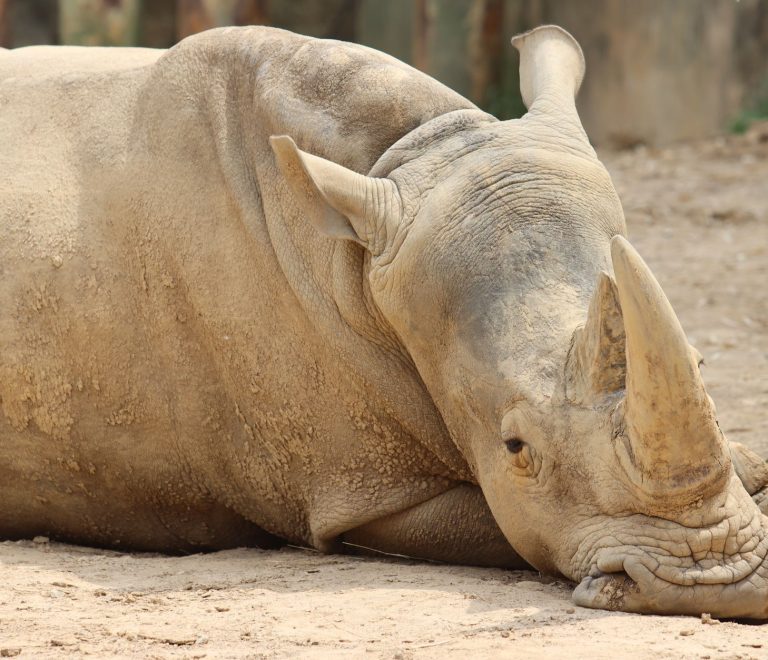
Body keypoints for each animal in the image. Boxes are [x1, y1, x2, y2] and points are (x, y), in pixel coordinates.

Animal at [1, 24, 767, 618]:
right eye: (514, 447)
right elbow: (507, 526)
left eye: (703, 367)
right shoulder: (362, 492)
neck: (414, 150)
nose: (713, 583)